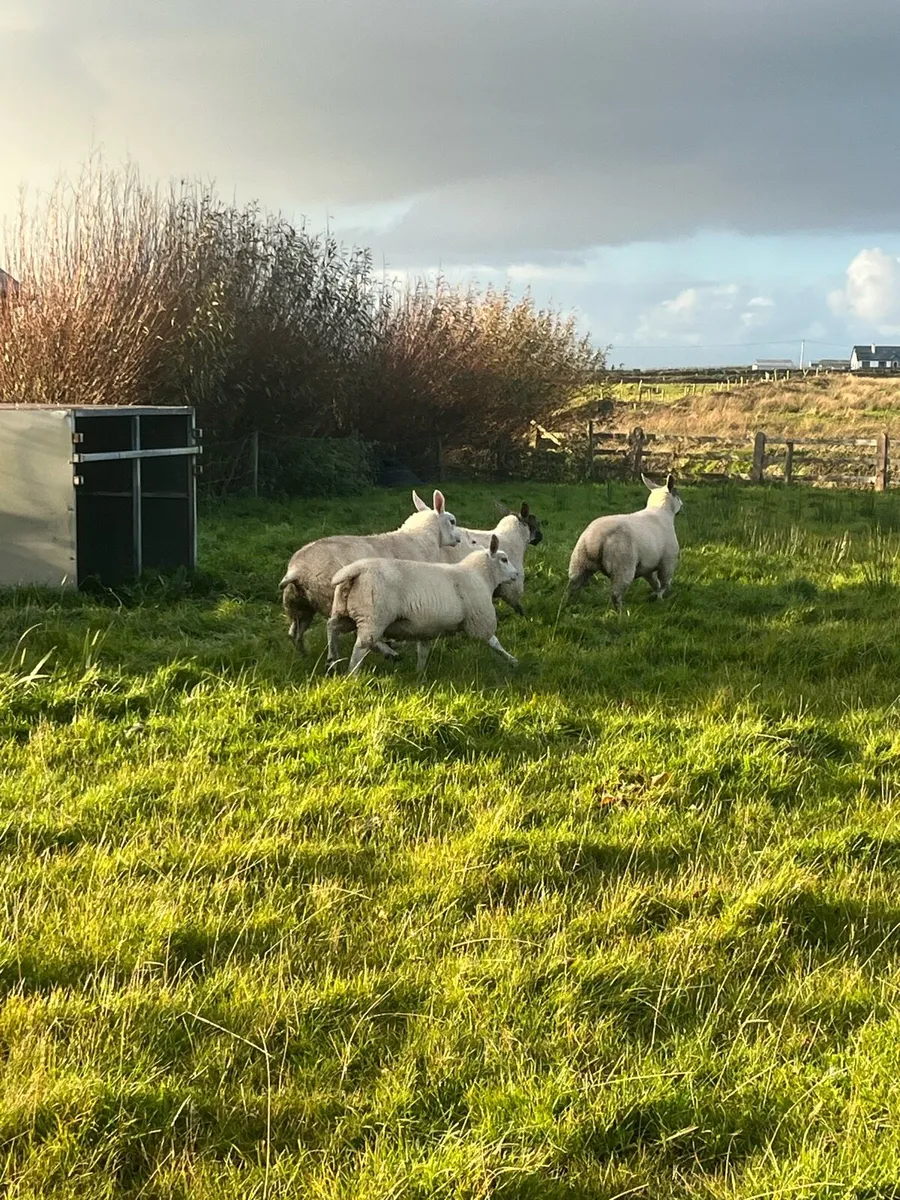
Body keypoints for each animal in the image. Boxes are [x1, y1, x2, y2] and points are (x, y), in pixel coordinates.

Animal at [279, 489, 462, 657]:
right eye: (452, 521)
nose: (459, 539)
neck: (420, 539)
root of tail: (297, 570)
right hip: (338, 600)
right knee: (344, 629)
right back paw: (386, 652)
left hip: (299, 605)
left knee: (294, 633)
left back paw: (304, 655)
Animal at [328, 534, 520, 676]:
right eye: (504, 559)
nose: (516, 574)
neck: (480, 575)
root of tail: (356, 569)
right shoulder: (479, 620)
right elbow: (494, 642)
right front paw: (512, 660)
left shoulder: (425, 628)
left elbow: (423, 652)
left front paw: (420, 674)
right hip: (373, 617)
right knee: (360, 646)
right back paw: (352, 674)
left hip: (346, 611)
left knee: (332, 627)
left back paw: (332, 659)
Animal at [567, 473, 683, 611]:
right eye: (677, 493)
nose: (682, 504)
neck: (660, 510)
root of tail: (594, 539)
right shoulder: (667, 562)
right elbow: (665, 584)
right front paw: (661, 599)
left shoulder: (647, 567)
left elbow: (655, 583)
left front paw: (657, 598)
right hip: (622, 567)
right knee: (616, 594)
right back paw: (621, 613)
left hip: (579, 564)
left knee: (572, 589)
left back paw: (570, 606)